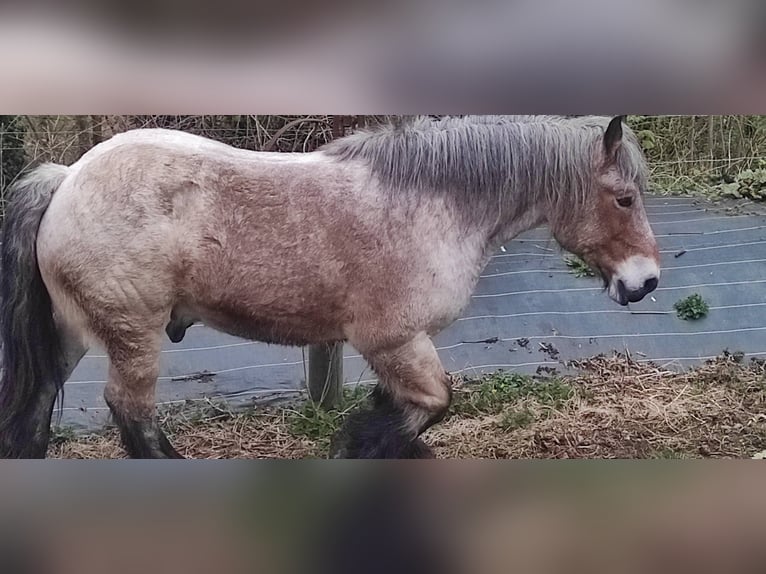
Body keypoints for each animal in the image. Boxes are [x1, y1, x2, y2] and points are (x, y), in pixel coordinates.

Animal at [0, 115, 660, 462]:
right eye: (624, 198)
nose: (645, 282)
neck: (432, 205)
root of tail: (67, 179)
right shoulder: (395, 341)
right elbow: (430, 405)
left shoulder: (395, 350)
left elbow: (404, 410)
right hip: (134, 334)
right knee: (131, 412)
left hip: (72, 332)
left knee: (36, 410)